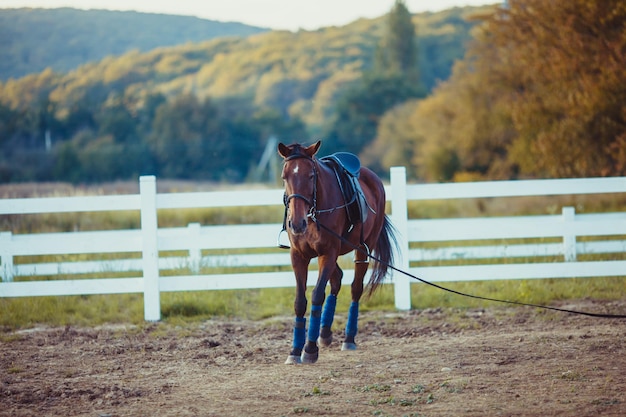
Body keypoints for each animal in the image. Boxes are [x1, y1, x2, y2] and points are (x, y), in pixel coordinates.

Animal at [276, 141, 398, 362]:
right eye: (284, 176)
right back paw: (324, 333)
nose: (297, 223)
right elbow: (300, 301)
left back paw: (348, 338)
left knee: (355, 288)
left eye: (311, 176)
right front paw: (295, 350)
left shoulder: (328, 253)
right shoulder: (299, 256)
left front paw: (310, 349)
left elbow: (317, 295)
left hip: (362, 249)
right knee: (337, 279)